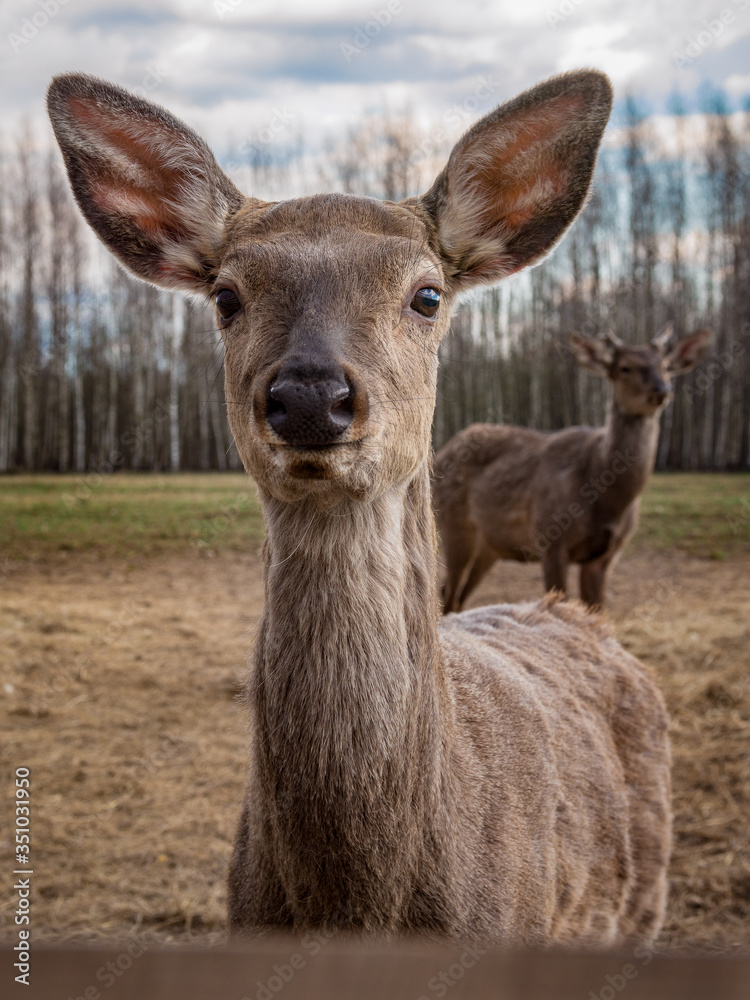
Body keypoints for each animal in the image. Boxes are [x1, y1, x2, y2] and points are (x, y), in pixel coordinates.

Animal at [434, 328, 712, 612]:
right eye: (625, 367)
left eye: (666, 366)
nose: (662, 390)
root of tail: (442, 452)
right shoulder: (550, 540)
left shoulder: (606, 555)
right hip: (454, 527)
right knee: (447, 595)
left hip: (491, 546)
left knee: (458, 597)